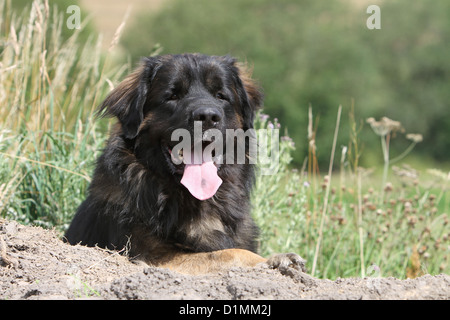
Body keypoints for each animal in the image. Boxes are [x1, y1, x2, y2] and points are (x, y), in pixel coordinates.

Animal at [64, 53, 306, 274]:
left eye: (220, 96)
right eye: (173, 96)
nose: (207, 116)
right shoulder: (153, 255)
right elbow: (225, 253)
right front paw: (268, 260)